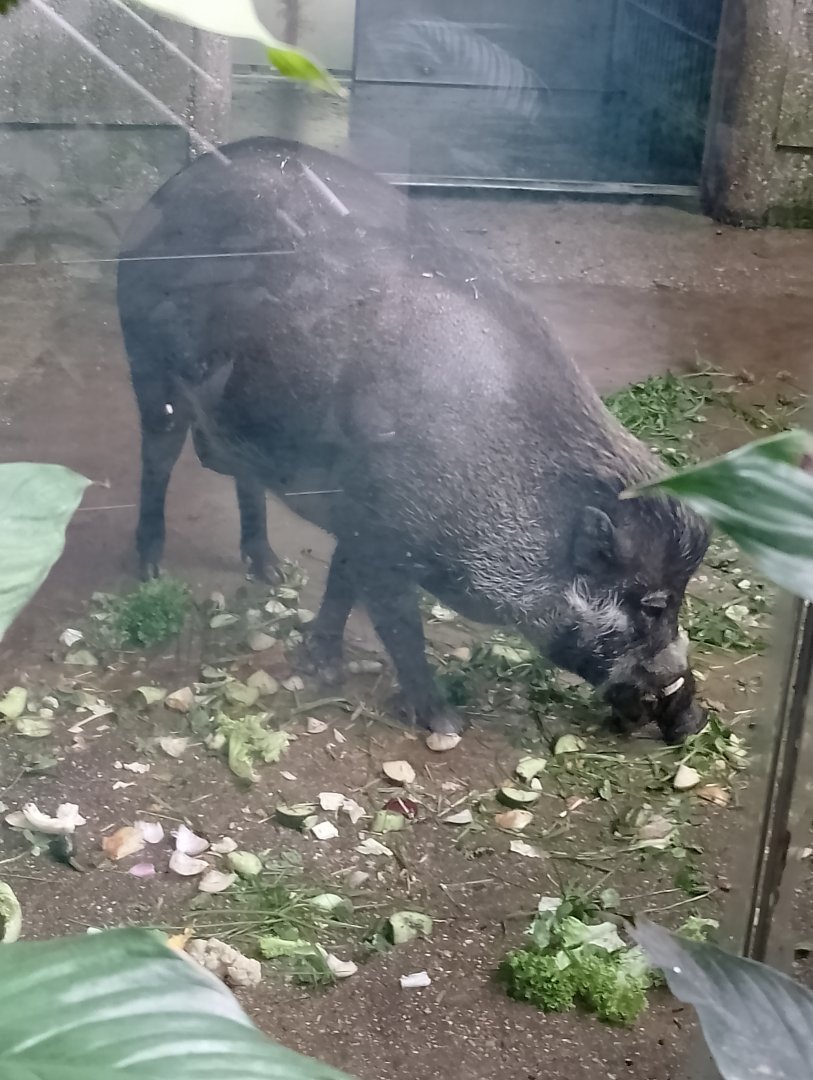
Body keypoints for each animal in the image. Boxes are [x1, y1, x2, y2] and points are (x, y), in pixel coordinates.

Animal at [117, 136, 710, 745]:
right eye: (653, 605)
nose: (693, 717)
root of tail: (171, 189)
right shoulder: (381, 535)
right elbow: (399, 624)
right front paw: (445, 724)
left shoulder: (359, 521)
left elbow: (341, 584)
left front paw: (320, 662)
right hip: (149, 368)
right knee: (158, 456)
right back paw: (149, 570)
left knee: (239, 475)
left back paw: (270, 572)